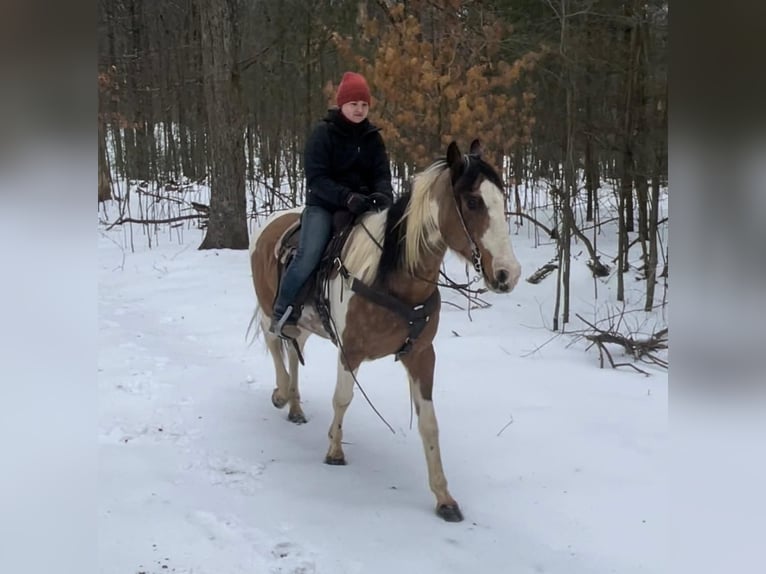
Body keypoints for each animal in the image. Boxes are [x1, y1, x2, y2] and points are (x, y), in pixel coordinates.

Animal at [250, 140, 520, 520]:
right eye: (472, 202)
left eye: (501, 198)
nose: (509, 273)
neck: (392, 278)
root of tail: (272, 223)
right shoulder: (351, 350)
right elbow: (342, 399)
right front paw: (334, 451)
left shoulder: (421, 354)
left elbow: (429, 423)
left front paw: (443, 496)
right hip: (269, 308)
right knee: (276, 344)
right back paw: (282, 394)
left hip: (305, 322)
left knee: (292, 347)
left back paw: (295, 407)